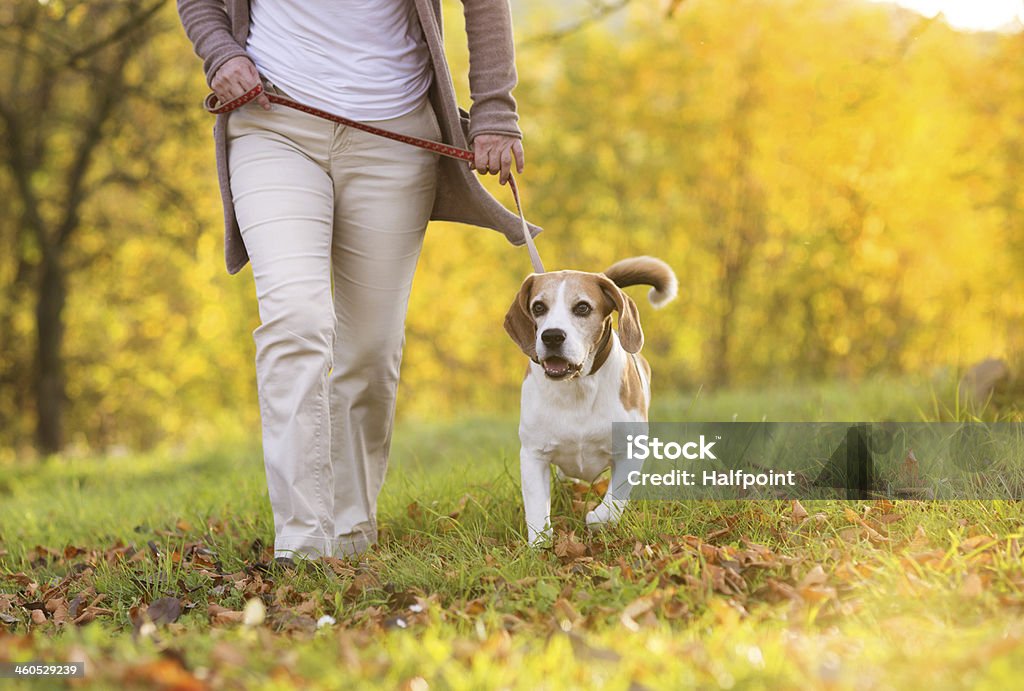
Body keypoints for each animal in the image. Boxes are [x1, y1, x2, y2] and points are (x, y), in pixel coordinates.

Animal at [505, 256, 679, 544]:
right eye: (538, 307)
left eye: (583, 308)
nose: (552, 336)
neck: (577, 386)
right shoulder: (533, 454)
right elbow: (537, 507)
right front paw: (540, 543)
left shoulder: (631, 451)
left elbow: (615, 498)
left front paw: (597, 518)